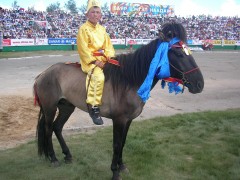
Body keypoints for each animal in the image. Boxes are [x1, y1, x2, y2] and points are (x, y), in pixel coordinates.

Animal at [33, 22, 202, 180]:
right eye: (178, 53)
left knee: (57, 127)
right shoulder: (119, 120)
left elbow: (123, 142)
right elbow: (117, 144)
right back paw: (53, 158)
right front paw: (115, 172)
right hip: (50, 108)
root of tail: (43, 74)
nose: (200, 83)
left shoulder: (128, 120)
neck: (129, 81)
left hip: (67, 107)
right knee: (48, 129)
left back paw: (67, 155)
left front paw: (121, 166)